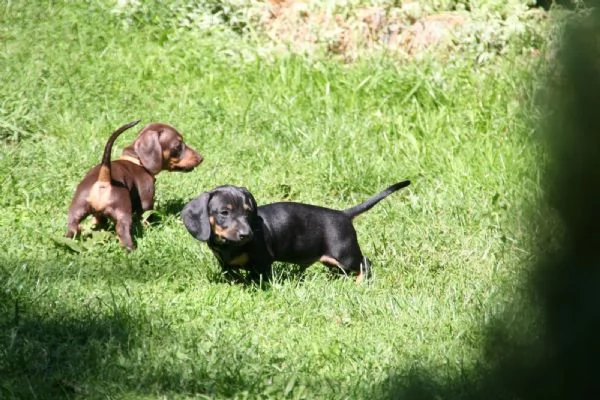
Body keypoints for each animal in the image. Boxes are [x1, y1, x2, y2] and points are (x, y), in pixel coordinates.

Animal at [66, 119, 204, 250]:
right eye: (178, 146)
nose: (201, 158)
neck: (137, 161)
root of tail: (104, 179)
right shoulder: (146, 201)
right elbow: (146, 217)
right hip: (122, 211)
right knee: (122, 231)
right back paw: (132, 251)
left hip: (77, 209)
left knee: (72, 227)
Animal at [180, 180, 410, 282]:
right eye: (224, 212)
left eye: (248, 212)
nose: (247, 234)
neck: (229, 245)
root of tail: (343, 214)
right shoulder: (225, 264)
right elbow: (231, 274)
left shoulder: (263, 262)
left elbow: (260, 277)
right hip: (332, 260)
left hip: (344, 254)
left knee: (365, 263)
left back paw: (360, 283)